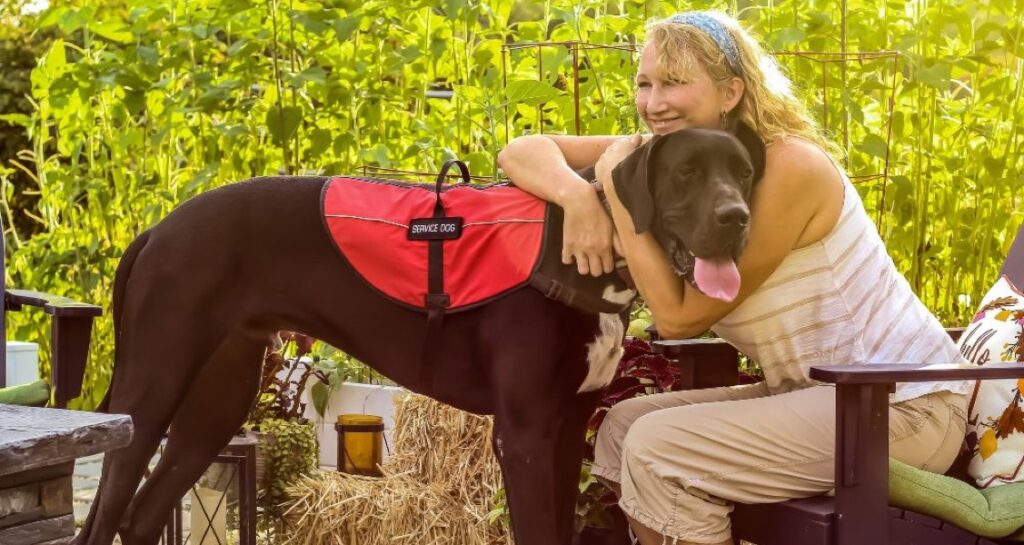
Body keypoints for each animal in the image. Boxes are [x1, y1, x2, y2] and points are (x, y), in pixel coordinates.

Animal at [77, 123, 761, 545]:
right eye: (686, 173)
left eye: (745, 172)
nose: (738, 219)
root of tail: (157, 230)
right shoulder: (526, 434)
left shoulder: (569, 429)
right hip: (152, 390)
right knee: (105, 515)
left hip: (217, 399)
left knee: (141, 516)